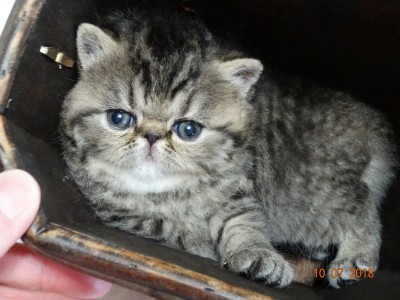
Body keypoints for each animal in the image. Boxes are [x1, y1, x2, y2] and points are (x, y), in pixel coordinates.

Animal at [59, 4, 396, 288]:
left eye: (188, 129)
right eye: (119, 118)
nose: (152, 137)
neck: (169, 191)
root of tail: (371, 127)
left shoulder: (239, 186)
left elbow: (243, 221)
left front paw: (259, 255)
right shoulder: (115, 211)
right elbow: (168, 228)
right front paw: (204, 243)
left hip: (315, 195)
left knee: (362, 205)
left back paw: (355, 257)